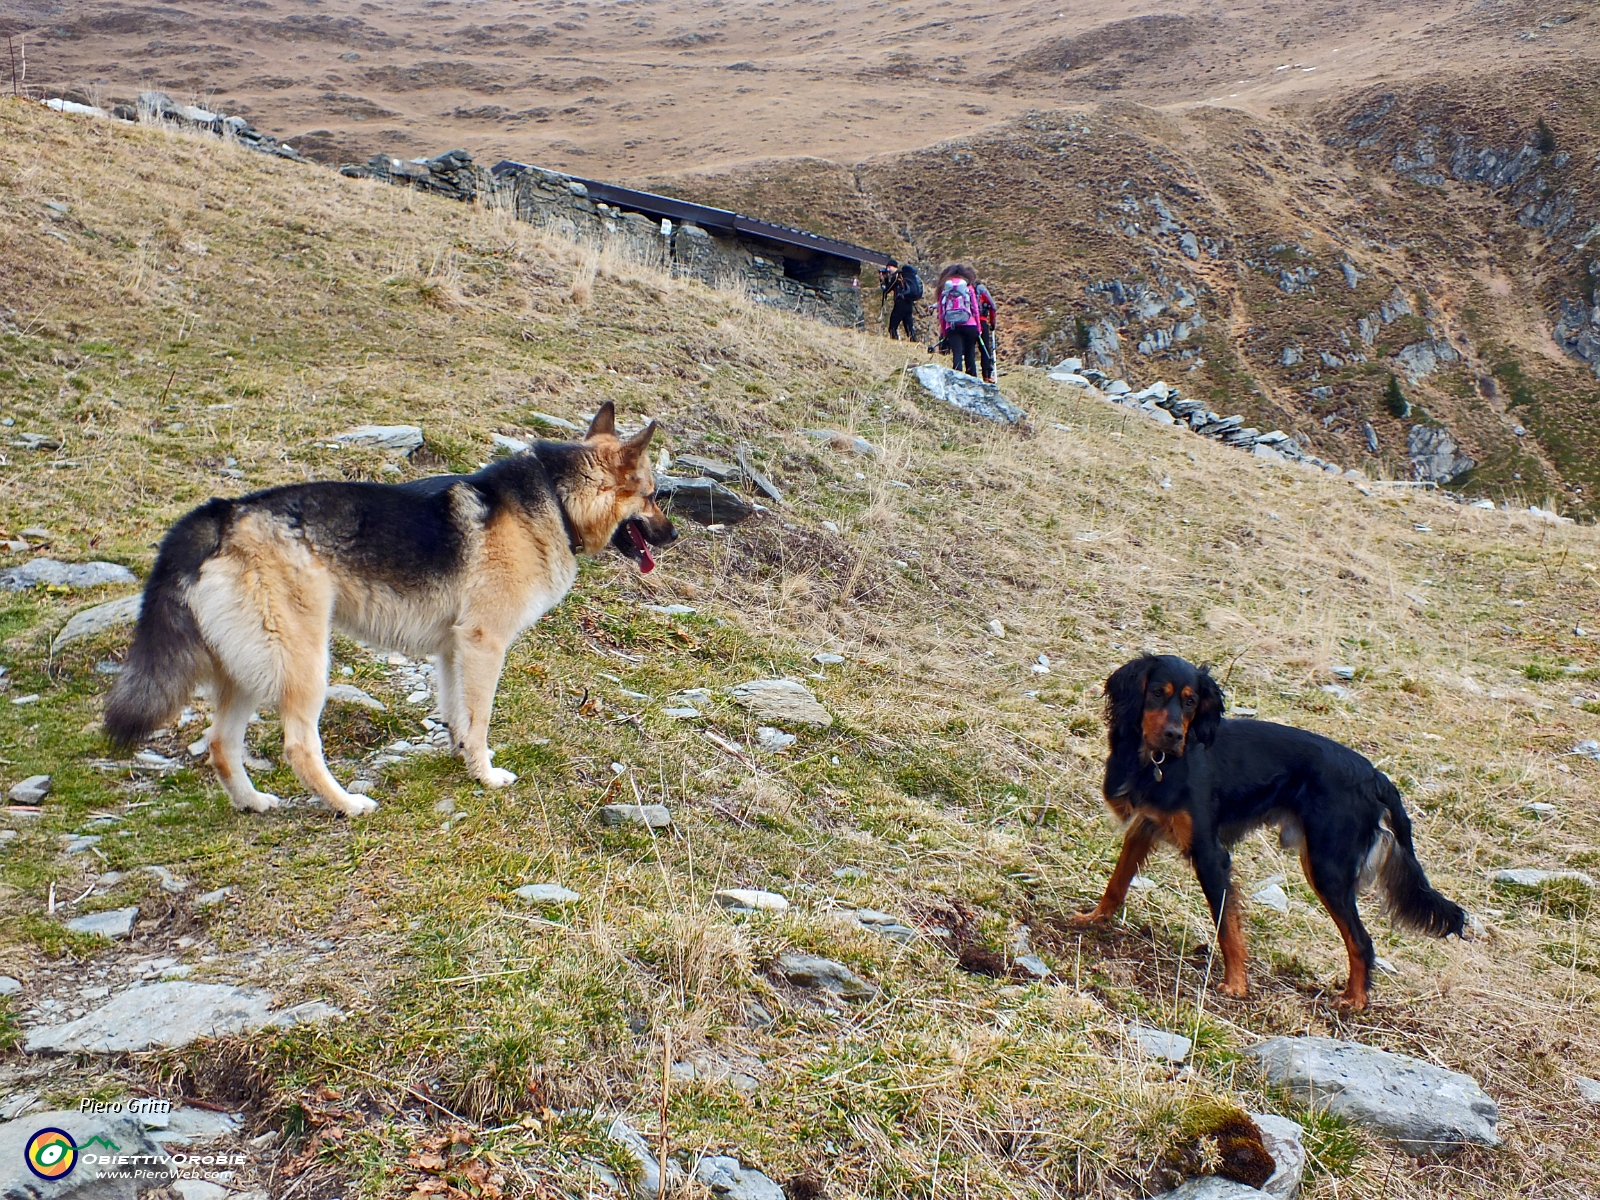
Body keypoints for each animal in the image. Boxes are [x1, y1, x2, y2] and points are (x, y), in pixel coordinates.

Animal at [103, 404, 672, 819]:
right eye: (652, 496)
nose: (673, 536)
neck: (557, 499)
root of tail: (224, 512)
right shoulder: (484, 643)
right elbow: (481, 718)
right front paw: (486, 775)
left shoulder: (454, 649)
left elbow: (457, 716)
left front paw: (462, 760)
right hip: (303, 664)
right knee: (298, 747)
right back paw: (347, 805)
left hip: (249, 668)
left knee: (222, 744)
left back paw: (253, 803)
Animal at [1075, 652, 1472, 1011]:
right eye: (1157, 692)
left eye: (1190, 701)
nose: (1174, 735)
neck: (1157, 762)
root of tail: (1374, 776)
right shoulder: (1144, 826)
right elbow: (1117, 882)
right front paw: (1094, 918)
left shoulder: (1210, 853)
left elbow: (1226, 922)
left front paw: (1236, 984)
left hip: (1327, 867)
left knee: (1362, 941)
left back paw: (1355, 1000)